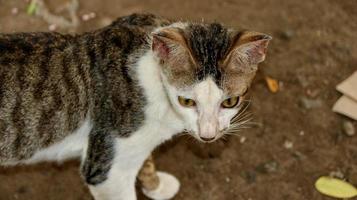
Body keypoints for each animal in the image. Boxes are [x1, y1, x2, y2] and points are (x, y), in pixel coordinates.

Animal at [0, 13, 272, 199]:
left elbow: (146, 160)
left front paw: (156, 186)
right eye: (186, 101)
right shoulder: (105, 168)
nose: (208, 135)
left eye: (230, 101)